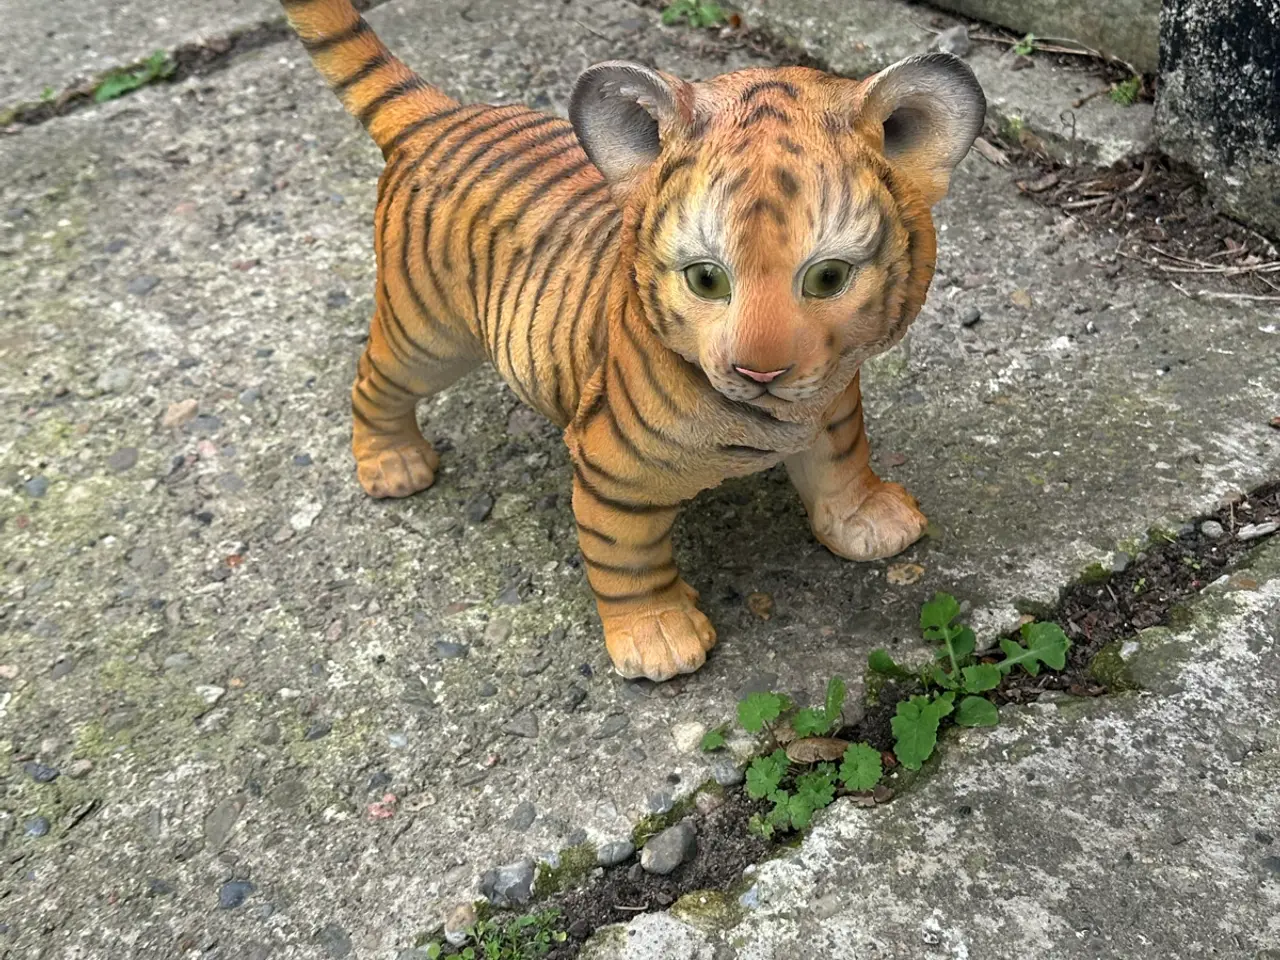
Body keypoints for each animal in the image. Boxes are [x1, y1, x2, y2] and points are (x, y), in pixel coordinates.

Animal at [280, 0, 985, 682]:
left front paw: (868, 520)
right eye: (706, 278)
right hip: (426, 334)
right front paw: (658, 636)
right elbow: (626, 557)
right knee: (375, 382)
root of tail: (444, 116)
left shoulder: (832, 402)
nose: (760, 373)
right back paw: (392, 463)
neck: (778, 414)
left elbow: (841, 460)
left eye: (829, 277)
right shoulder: (611, 465)